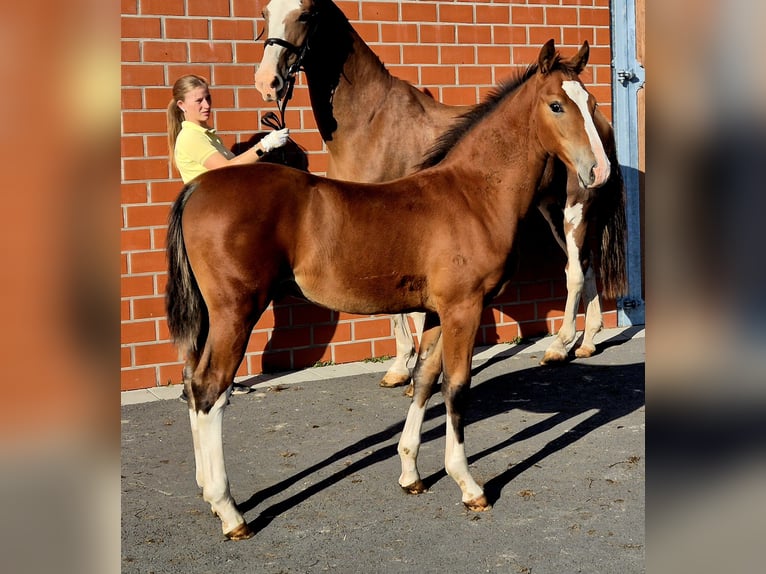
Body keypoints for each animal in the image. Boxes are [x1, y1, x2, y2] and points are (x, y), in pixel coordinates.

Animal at [166, 40, 625, 539]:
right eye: (557, 105)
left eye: (592, 104)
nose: (599, 170)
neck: (474, 194)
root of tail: (197, 189)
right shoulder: (464, 308)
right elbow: (457, 387)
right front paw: (469, 486)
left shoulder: (437, 311)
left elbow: (425, 379)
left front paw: (410, 473)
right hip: (236, 311)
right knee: (209, 388)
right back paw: (229, 511)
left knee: (192, 382)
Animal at [253, 0, 623, 385]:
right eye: (265, 13)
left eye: (306, 14)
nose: (267, 81)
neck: (372, 122)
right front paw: (403, 366)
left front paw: (410, 365)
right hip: (558, 209)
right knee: (586, 266)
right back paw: (587, 342)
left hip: (572, 208)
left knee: (575, 271)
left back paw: (559, 346)